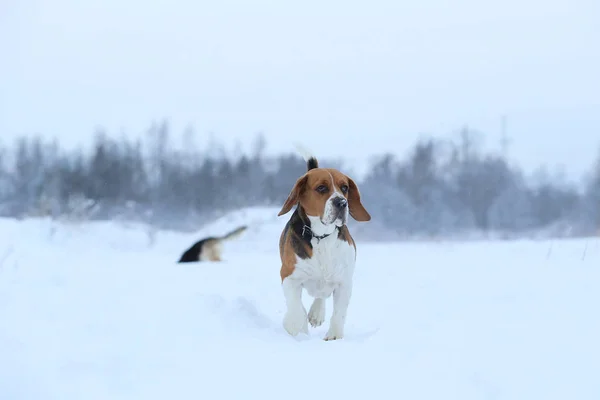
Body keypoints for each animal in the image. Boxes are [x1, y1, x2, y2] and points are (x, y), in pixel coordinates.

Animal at [278, 153, 370, 340]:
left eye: (345, 187)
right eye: (321, 188)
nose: (342, 203)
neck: (322, 236)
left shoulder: (344, 282)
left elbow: (339, 313)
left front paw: (334, 337)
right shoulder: (289, 276)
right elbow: (296, 307)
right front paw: (294, 326)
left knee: (321, 295)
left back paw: (317, 313)